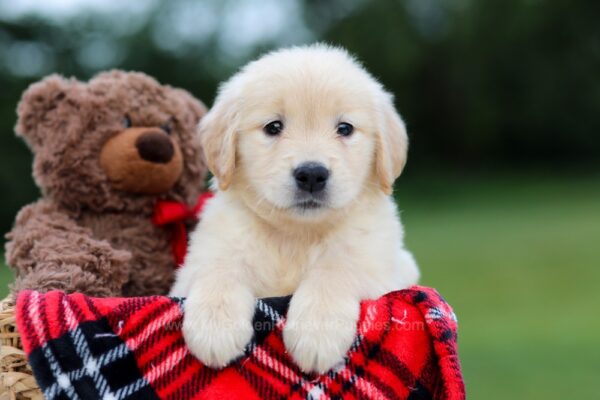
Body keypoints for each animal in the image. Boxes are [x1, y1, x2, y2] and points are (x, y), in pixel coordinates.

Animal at [171, 44, 420, 376]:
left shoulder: (383, 267)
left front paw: (317, 332)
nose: (312, 174)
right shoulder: (200, 262)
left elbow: (337, 269)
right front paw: (214, 326)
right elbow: (219, 268)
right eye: (273, 127)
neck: (296, 236)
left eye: (345, 128)